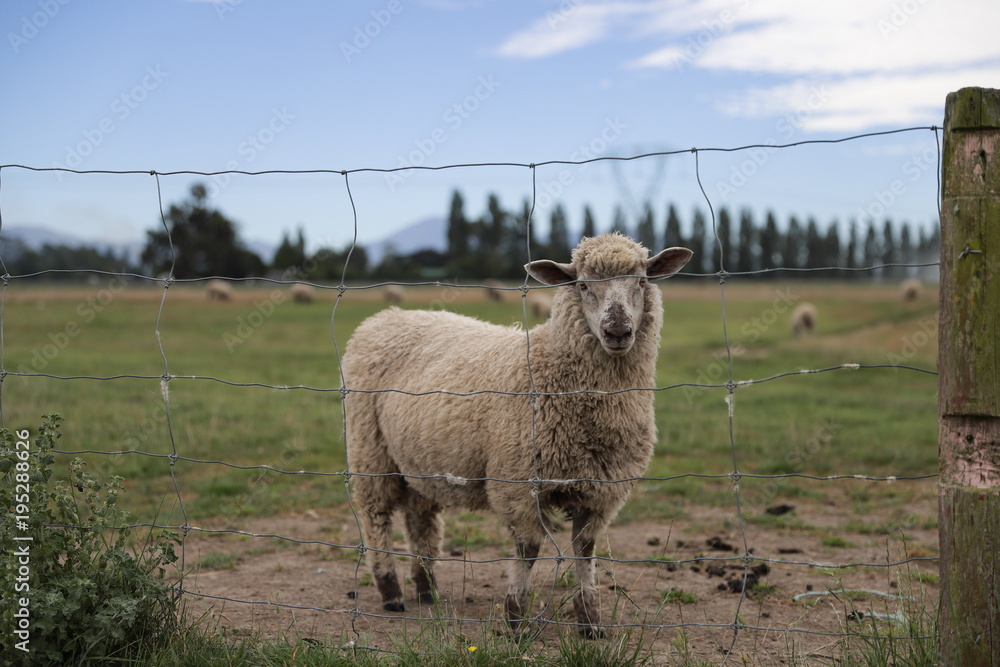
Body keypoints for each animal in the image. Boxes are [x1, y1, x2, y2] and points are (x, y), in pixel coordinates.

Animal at [341, 233, 692, 638]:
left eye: (641, 282)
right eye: (582, 285)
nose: (617, 332)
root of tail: (388, 316)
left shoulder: (602, 490)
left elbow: (585, 549)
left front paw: (590, 621)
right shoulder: (519, 482)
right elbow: (528, 549)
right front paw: (515, 620)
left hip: (419, 459)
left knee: (420, 517)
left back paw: (426, 588)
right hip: (370, 450)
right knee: (376, 516)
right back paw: (391, 592)